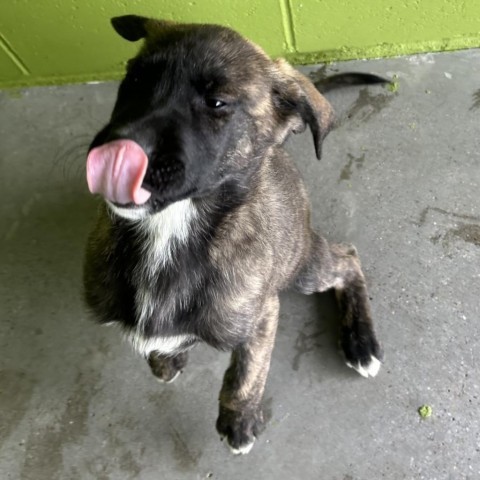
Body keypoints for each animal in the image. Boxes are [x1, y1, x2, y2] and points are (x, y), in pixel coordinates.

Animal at [82, 15, 382, 456]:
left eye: (217, 103)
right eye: (134, 78)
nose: (114, 151)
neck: (170, 230)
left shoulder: (263, 315)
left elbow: (247, 373)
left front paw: (239, 420)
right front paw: (166, 358)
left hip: (301, 265)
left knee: (348, 258)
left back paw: (361, 342)